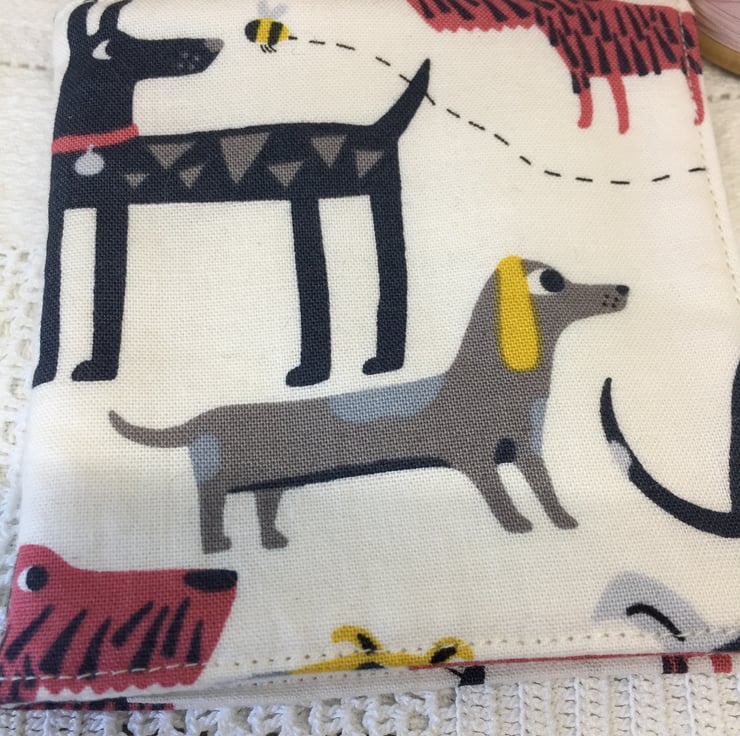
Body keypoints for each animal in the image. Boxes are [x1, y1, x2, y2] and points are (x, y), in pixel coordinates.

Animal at [34, 0, 430, 389]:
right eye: (113, 47)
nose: (210, 45)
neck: (98, 149)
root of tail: (378, 129)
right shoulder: (80, 213)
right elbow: (61, 297)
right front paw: (52, 373)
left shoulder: (111, 204)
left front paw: (94, 370)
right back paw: (373, 365)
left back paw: (324, 371)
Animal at [110, 255, 629, 553]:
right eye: (553, 281)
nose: (622, 289)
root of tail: (201, 420)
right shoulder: (474, 453)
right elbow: (498, 494)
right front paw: (518, 524)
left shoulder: (528, 445)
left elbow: (546, 488)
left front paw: (564, 522)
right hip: (219, 473)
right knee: (209, 501)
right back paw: (216, 545)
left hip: (270, 477)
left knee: (264, 503)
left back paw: (273, 541)